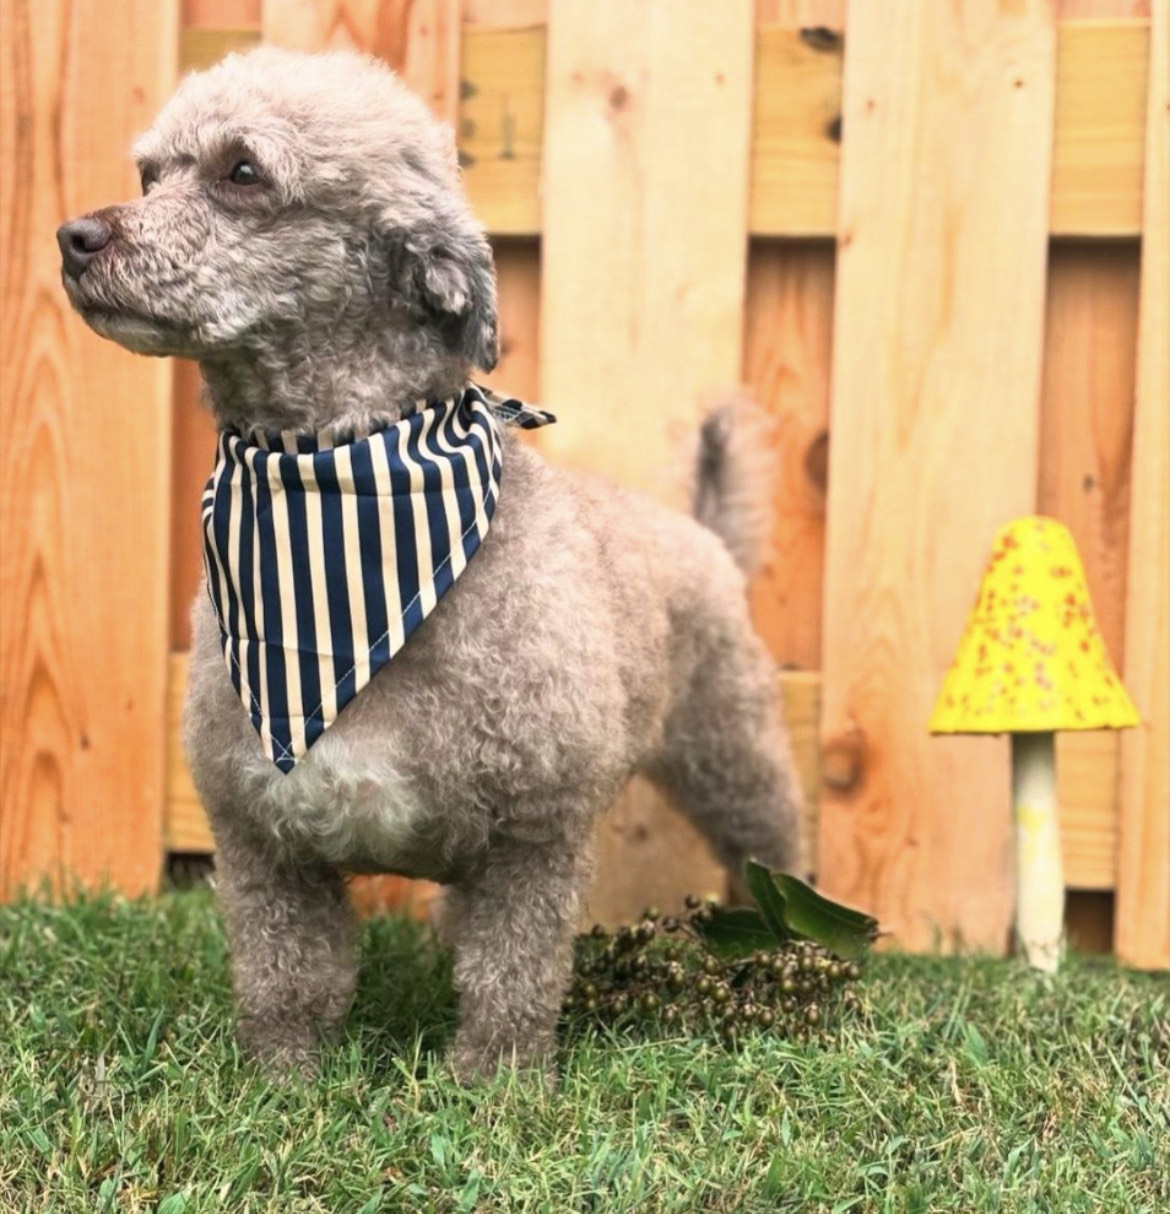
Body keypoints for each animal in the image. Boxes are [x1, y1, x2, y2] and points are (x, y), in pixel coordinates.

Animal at [59, 44, 801, 1082]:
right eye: (148, 175)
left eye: (243, 171)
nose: (73, 236)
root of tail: (702, 533)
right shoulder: (263, 846)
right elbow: (288, 980)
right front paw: (281, 1081)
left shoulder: (535, 838)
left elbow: (511, 978)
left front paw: (496, 1085)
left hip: (732, 749)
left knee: (770, 845)